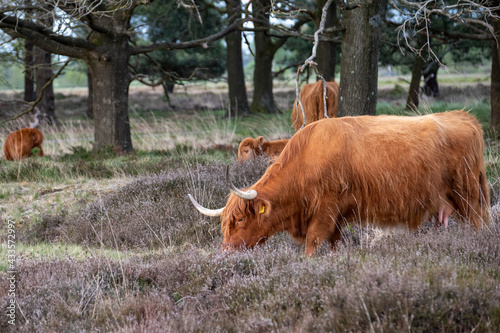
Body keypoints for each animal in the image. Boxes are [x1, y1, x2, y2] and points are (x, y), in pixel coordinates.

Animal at [189, 110, 490, 255]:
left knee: (478, 224)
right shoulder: (337, 218)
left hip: (468, 195)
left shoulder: (326, 209)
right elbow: (334, 243)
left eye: (240, 220)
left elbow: (312, 243)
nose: (226, 251)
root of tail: (465, 117)